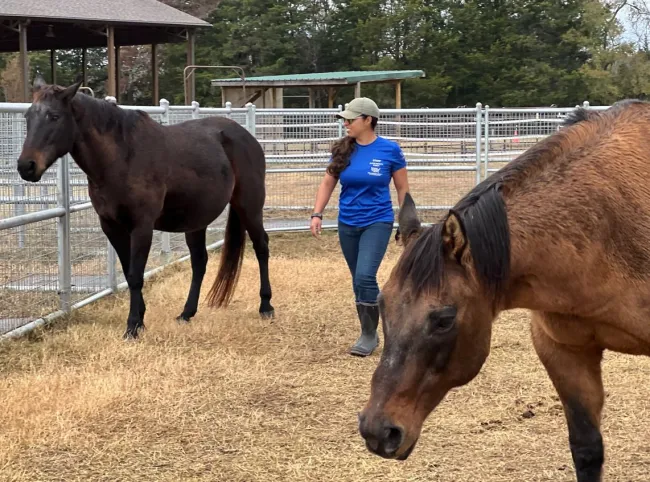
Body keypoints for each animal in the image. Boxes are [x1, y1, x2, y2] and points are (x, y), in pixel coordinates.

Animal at [17, 77, 274, 339]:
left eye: (54, 116)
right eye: (27, 116)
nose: (26, 166)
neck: (122, 158)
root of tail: (246, 137)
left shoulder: (142, 226)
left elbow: (135, 275)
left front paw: (132, 326)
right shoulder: (111, 226)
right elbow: (128, 270)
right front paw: (140, 319)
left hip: (249, 206)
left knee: (261, 246)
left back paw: (266, 306)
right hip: (196, 221)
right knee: (199, 261)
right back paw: (186, 313)